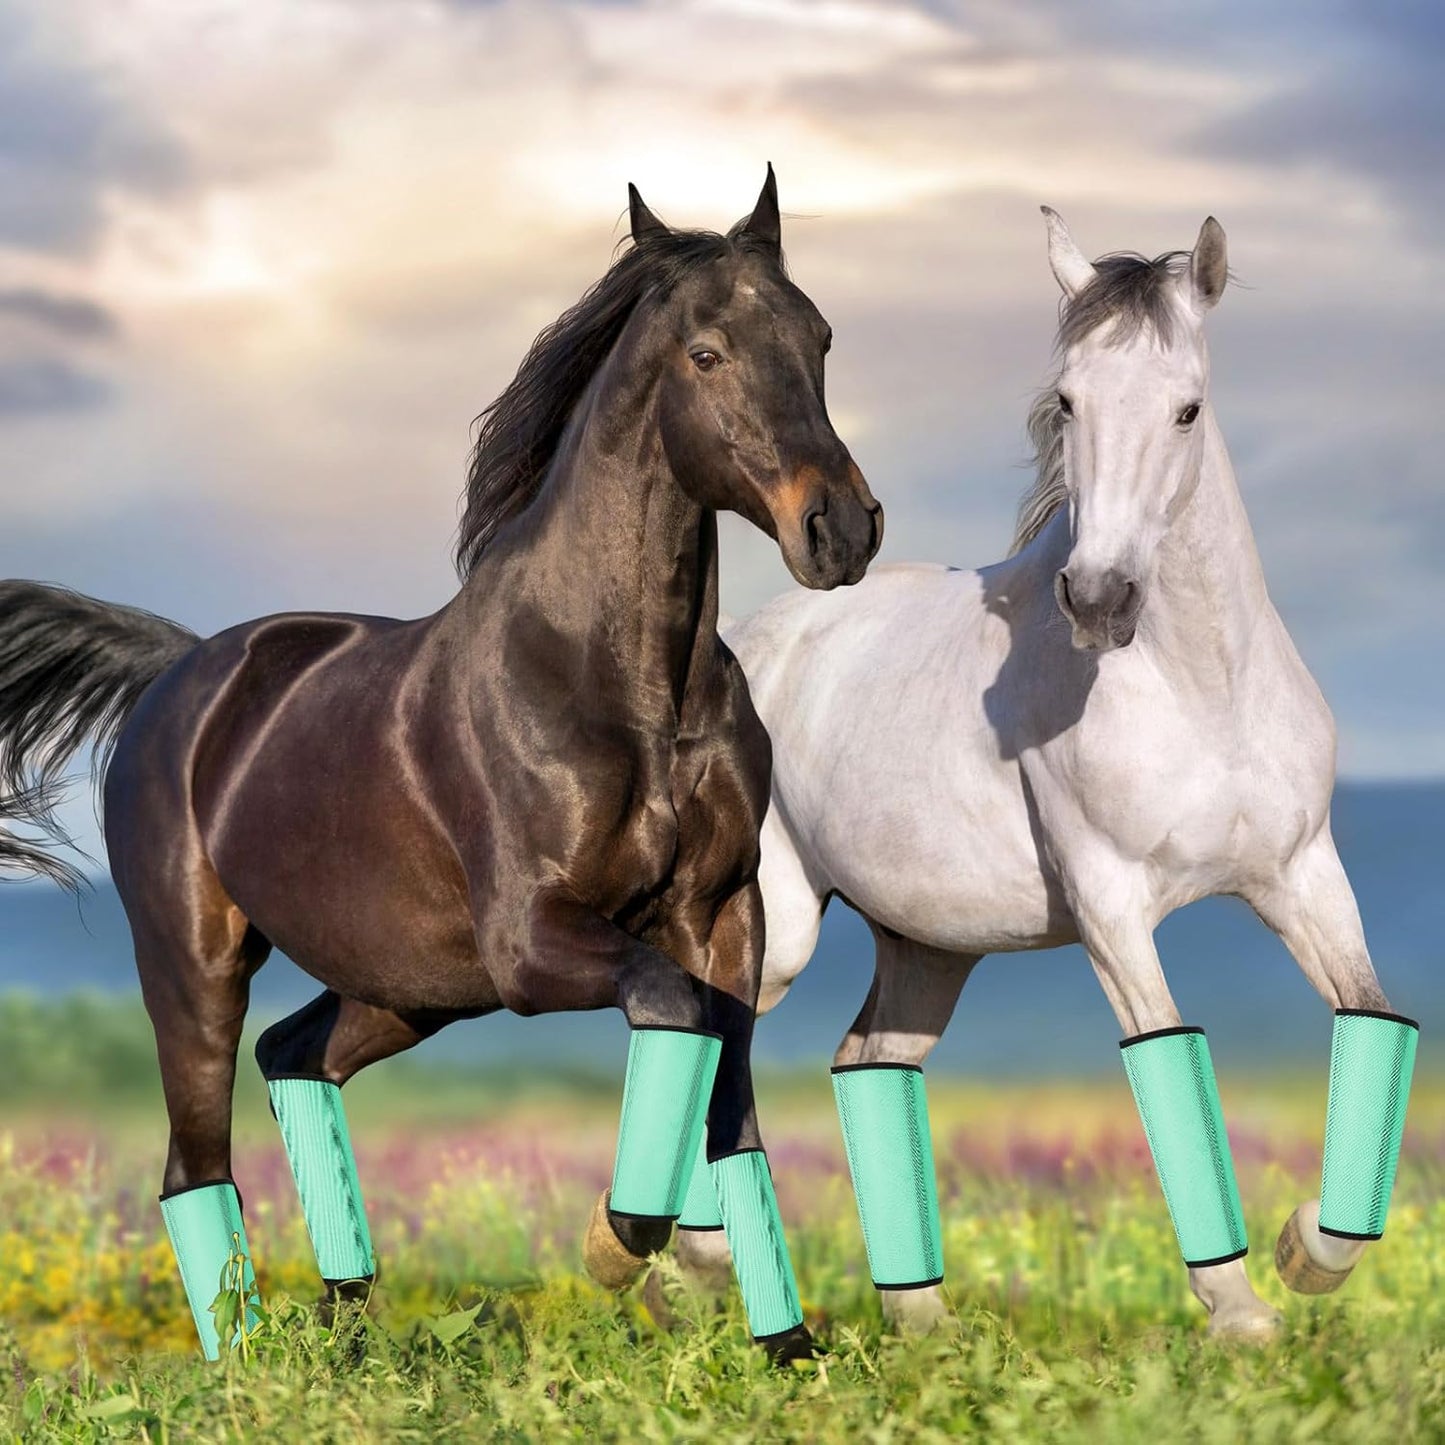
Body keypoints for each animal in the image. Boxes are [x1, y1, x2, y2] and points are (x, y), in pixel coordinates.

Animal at [0, 168, 882, 1363]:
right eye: (705, 352)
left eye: (819, 335)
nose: (842, 529)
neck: (624, 688)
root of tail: (180, 670)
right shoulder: (533, 939)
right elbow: (672, 1009)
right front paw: (619, 1240)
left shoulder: (720, 915)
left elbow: (729, 1105)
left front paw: (788, 1351)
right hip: (196, 965)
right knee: (194, 1161)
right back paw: (252, 1364)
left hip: (411, 985)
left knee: (294, 1054)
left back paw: (345, 1327)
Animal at [672, 209, 1417, 1341]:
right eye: (1066, 400)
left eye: (1187, 407)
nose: (1099, 598)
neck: (1201, 692)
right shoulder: (1110, 904)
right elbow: (1164, 1051)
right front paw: (1238, 1309)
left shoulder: (1301, 876)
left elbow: (1368, 1018)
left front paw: (1305, 1250)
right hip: (782, 926)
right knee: (713, 1033)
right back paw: (687, 1259)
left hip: (927, 948)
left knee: (867, 1064)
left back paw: (919, 1317)